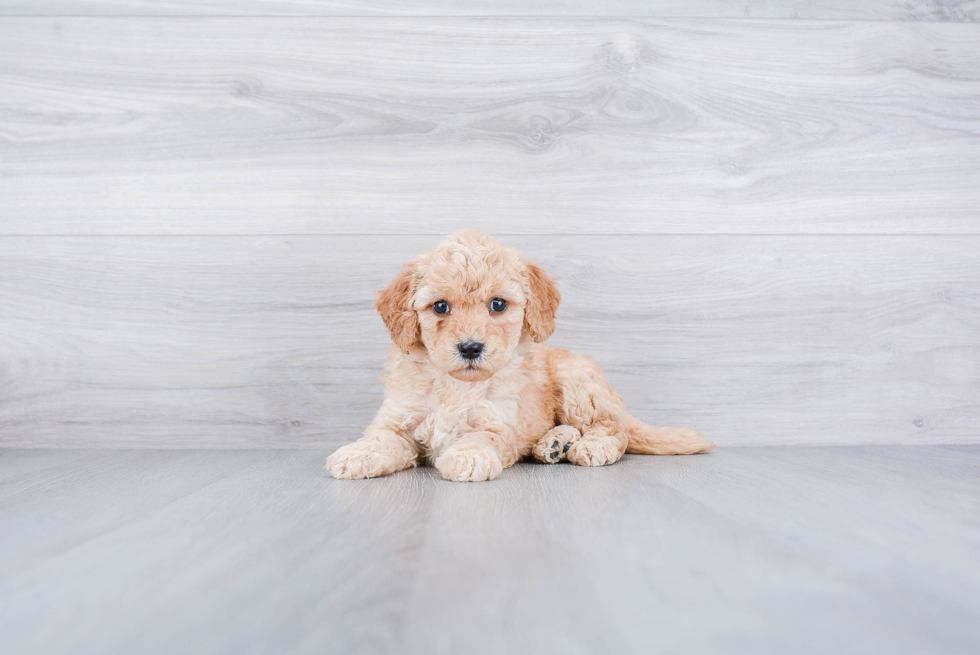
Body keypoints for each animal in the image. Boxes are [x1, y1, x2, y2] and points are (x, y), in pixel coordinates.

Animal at [326, 231, 716, 482]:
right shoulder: (397, 417)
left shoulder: (499, 424)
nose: (470, 347)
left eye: (498, 304)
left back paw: (588, 446)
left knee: (612, 428)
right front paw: (357, 454)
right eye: (439, 306)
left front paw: (467, 456)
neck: (456, 386)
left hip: (578, 382)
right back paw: (554, 443)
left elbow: (480, 438)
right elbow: (381, 437)